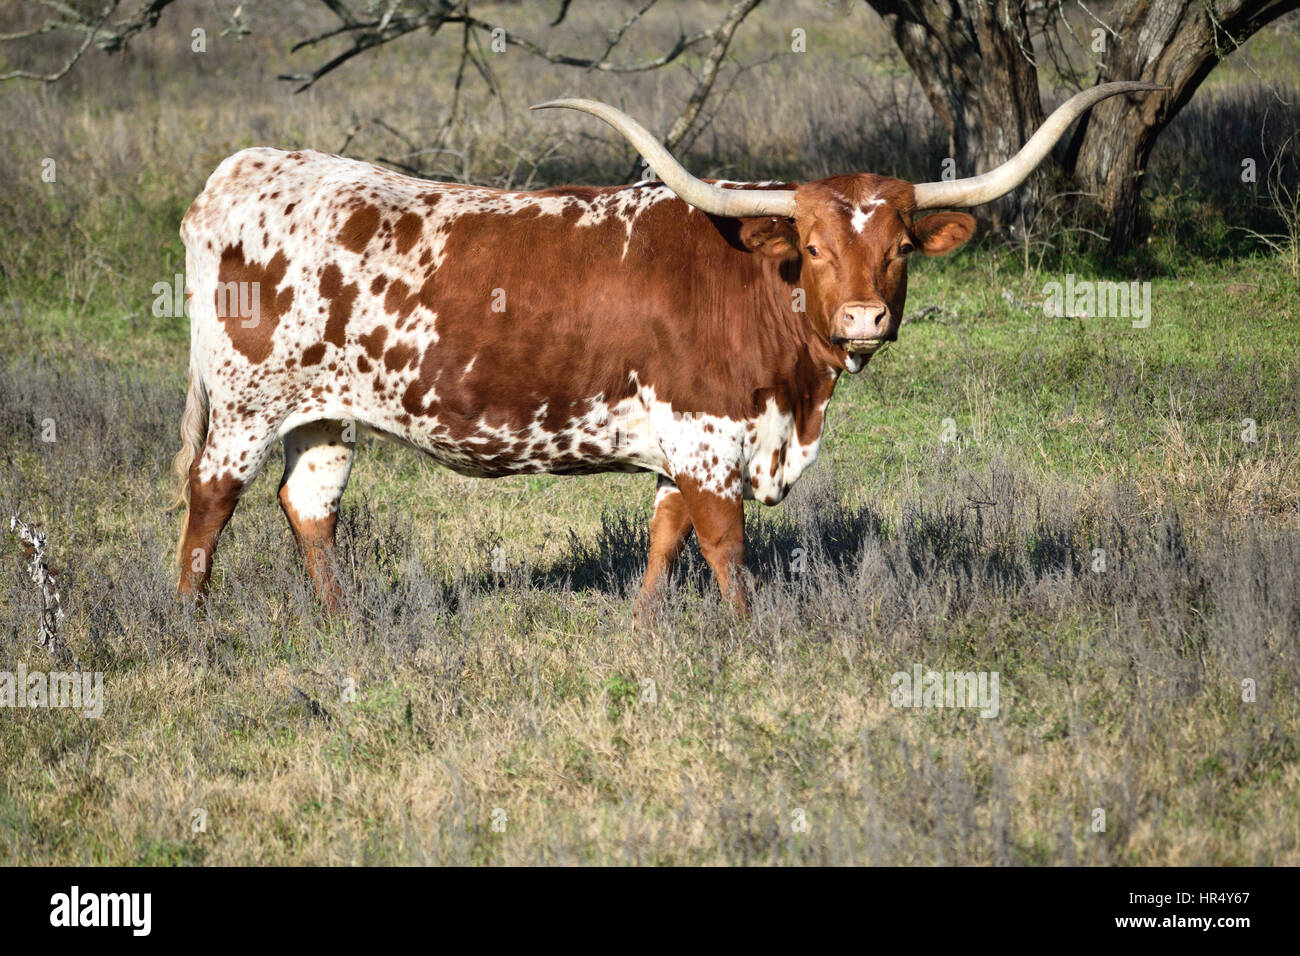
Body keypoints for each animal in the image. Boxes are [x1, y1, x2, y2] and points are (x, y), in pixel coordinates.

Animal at [172, 85, 1159, 616]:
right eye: (812, 247)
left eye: (900, 248)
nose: (864, 319)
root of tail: (240, 171)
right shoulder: (707, 432)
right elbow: (724, 543)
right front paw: (753, 640)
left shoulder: (689, 441)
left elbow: (665, 535)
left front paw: (642, 634)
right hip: (247, 405)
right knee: (210, 499)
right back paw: (190, 624)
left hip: (324, 412)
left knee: (310, 507)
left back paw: (348, 626)